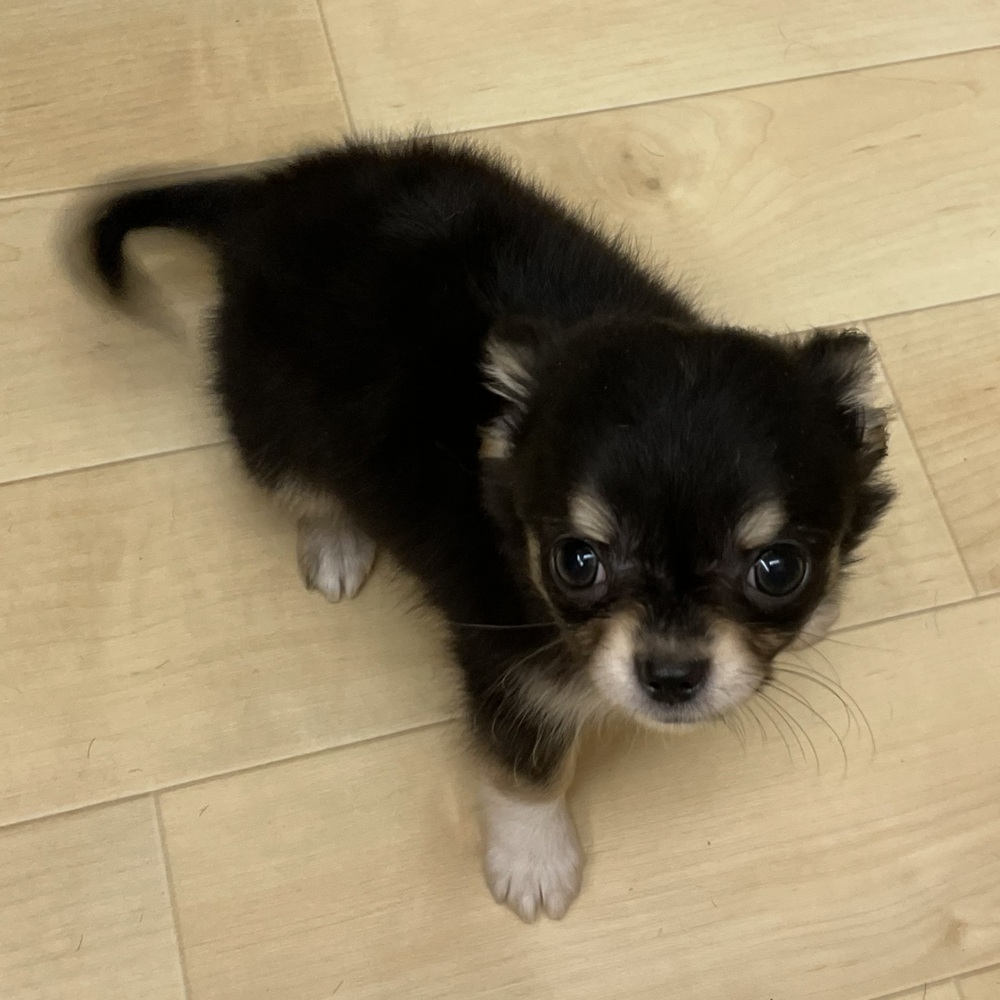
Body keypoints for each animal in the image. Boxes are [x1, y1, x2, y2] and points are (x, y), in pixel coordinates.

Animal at [81, 135, 893, 921]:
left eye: (779, 569)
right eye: (577, 561)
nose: (670, 676)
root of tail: (264, 196)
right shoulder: (510, 669)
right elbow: (529, 770)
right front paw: (534, 862)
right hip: (268, 412)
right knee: (299, 482)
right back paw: (336, 540)